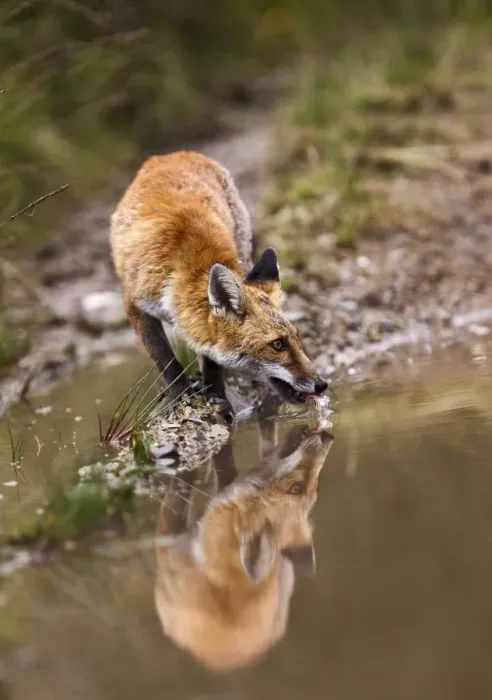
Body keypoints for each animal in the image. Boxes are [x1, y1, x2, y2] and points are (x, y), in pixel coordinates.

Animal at [110, 151, 328, 422]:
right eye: (278, 344)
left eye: (297, 339)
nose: (322, 384)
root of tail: (171, 154)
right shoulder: (135, 305)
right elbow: (166, 360)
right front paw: (180, 394)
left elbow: (212, 360)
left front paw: (216, 395)